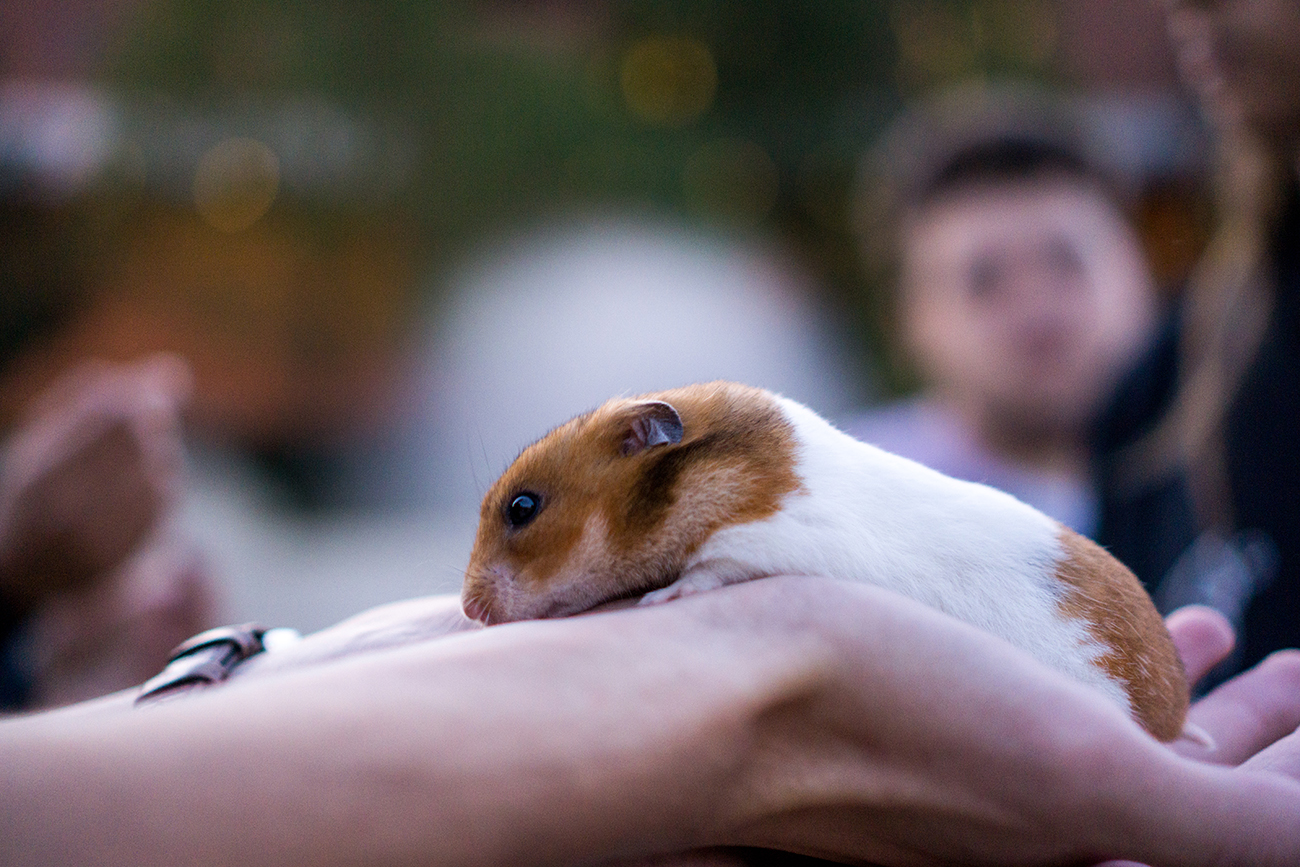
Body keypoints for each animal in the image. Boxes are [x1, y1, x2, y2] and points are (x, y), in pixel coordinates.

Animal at [461, 381, 1188, 741]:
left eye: (522, 507)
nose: (469, 608)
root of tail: (1174, 706)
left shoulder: (763, 541)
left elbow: (709, 572)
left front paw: (659, 598)